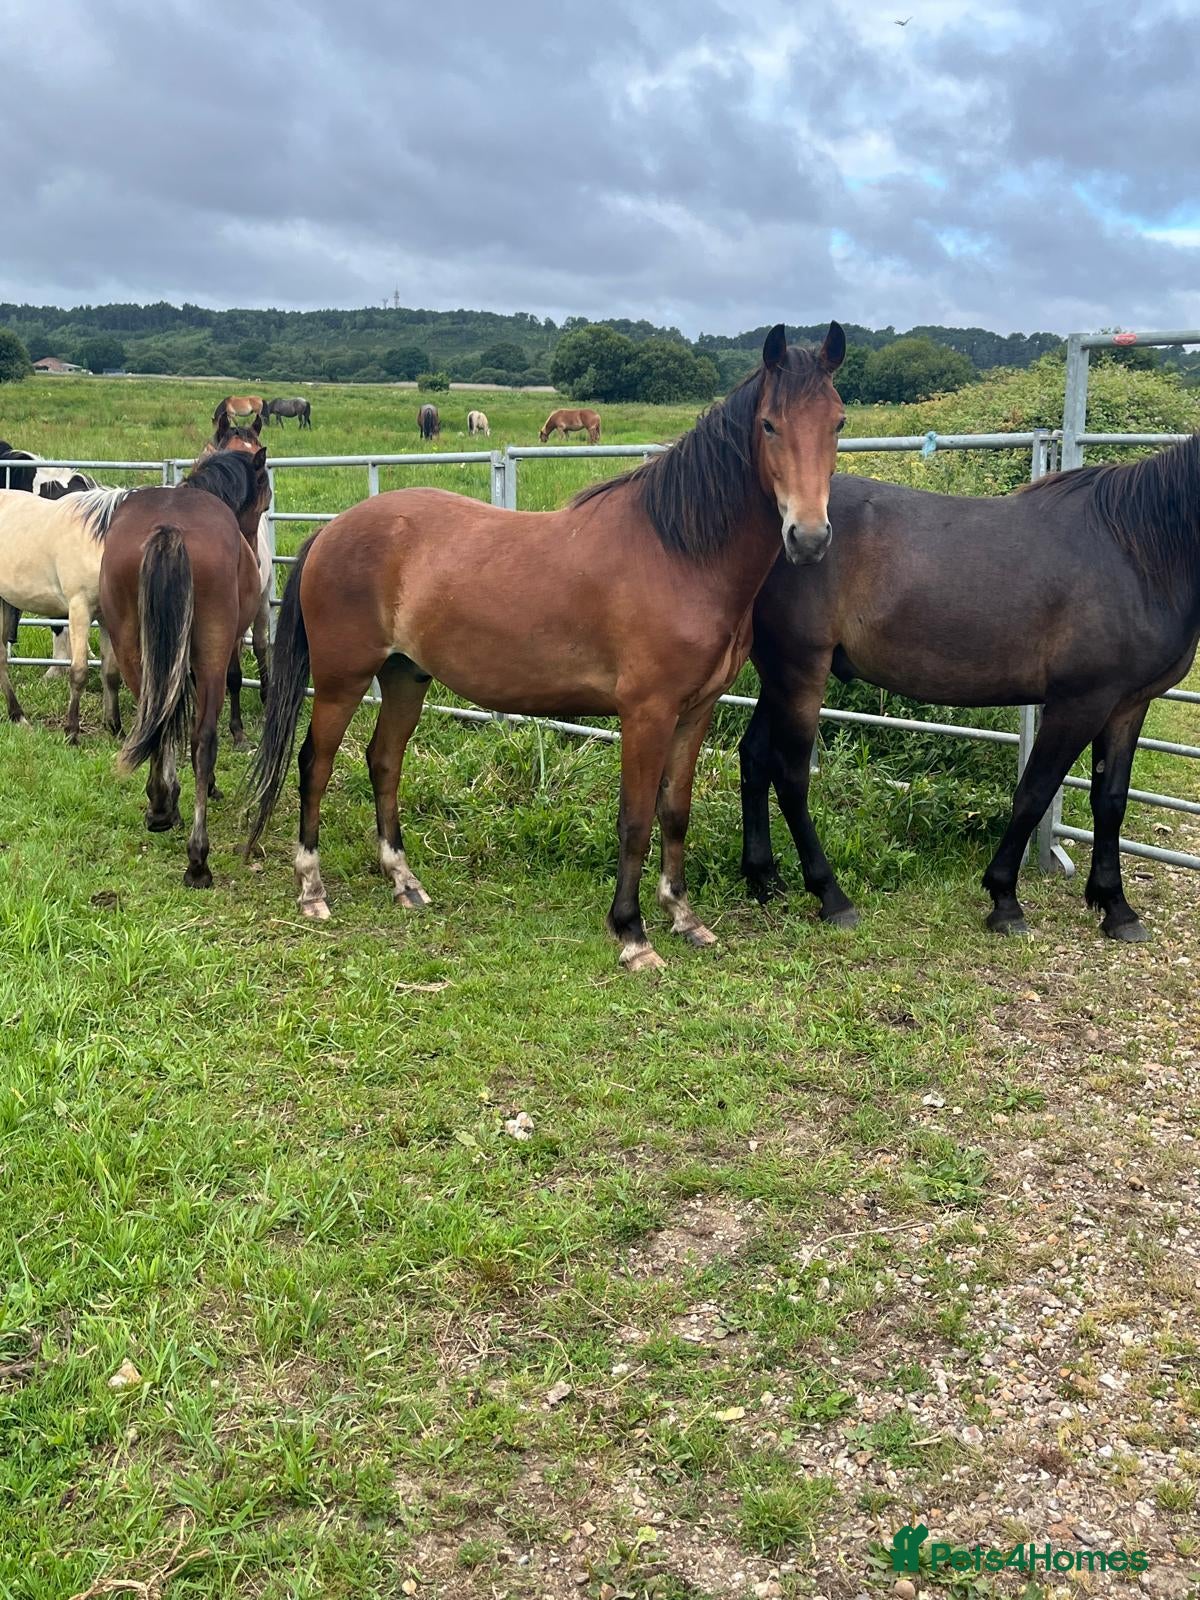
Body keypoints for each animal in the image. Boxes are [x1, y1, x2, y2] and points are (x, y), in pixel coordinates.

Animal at [0, 486, 129, 739]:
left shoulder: (105, 618)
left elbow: (110, 674)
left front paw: (115, 728)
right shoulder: (79, 609)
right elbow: (78, 672)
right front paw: (71, 732)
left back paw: (17, 716)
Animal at [100, 448, 270, 888]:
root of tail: (169, 528)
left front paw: (168, 797)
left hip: (133, 649)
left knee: (155, 722)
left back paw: (161, 808)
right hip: (210, 652)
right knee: (202, 739)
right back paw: (198, 859)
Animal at [245, 323, 846, 970]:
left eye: (837, 422)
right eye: (769, 425)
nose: (809, 537)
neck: (681, 554)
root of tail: (331, 530)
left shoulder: (695, 713)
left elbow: (674, 812)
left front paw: (684, 917)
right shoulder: (647, 713)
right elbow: (635, 819)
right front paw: (632, 934)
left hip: (405, 676)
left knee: (384, 761)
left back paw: (404, 881)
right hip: (341, 680)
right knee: (316, 763)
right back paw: (312, 888)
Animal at [738, 438, 1200, 944]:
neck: (1135, 553)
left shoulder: (1127, 705)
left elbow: (1110, 800)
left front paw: (1116, 907)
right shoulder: (1078, 702)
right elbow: (1034, 793)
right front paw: (1005, 900)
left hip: (779, 676)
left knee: (754, 756)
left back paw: (764, 879)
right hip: (800, 670)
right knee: (790, 774)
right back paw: (831, 896)